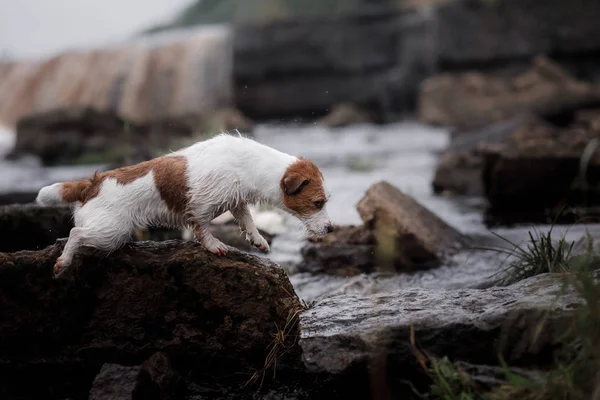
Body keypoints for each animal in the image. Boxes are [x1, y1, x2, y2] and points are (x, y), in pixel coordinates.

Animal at [37, 133, 336, 276]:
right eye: (318, 202)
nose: (331, 229)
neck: (247, 164)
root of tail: (94, 182)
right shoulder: (202, 204)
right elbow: (202, 226)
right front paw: (214, 245)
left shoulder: (236, 201)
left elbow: (247, 220)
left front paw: (258, 240)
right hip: (110, 232)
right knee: (75, 234)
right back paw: (62, 263)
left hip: (110, 235)